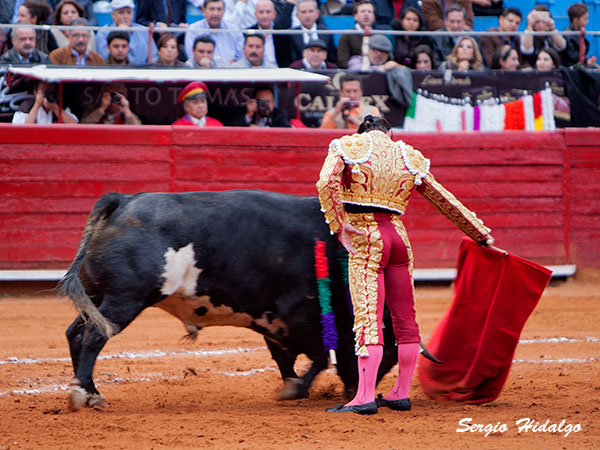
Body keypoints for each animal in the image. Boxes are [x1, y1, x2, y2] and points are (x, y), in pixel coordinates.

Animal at [58, 190, 404, 412]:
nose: (357, 392)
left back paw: (88, 391)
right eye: (387, 352)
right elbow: (319, 356)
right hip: (124, 300)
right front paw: (295, 389)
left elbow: (285, 358)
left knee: (75, 333)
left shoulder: (272, 319)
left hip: (99, 297)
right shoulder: (298, 314)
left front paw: (292, 385)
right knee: (93, 337)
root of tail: (124, 201)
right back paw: (86, 395)